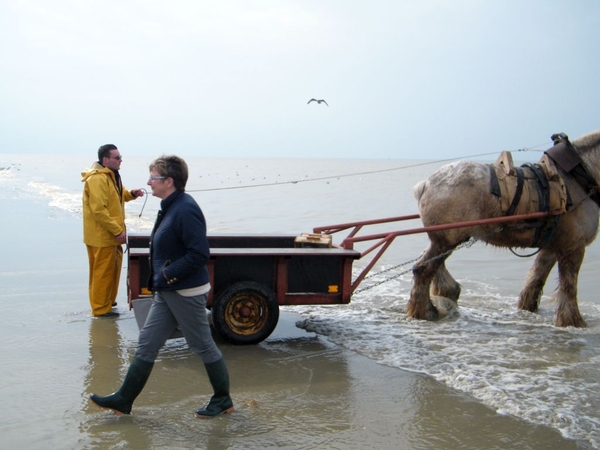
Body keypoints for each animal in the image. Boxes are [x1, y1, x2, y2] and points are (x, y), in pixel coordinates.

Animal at [408, 130, 600, 326]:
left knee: (430, 263)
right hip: (447, 239)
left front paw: (528, 308)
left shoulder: (552, 246)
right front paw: (573, 322)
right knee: (423, 269)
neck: (576, 180)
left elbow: (536, 279)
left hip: (445, 240)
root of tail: (426, 183)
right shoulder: (573, 247)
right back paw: (425, 310)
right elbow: (569, 287)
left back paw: (445, 292)